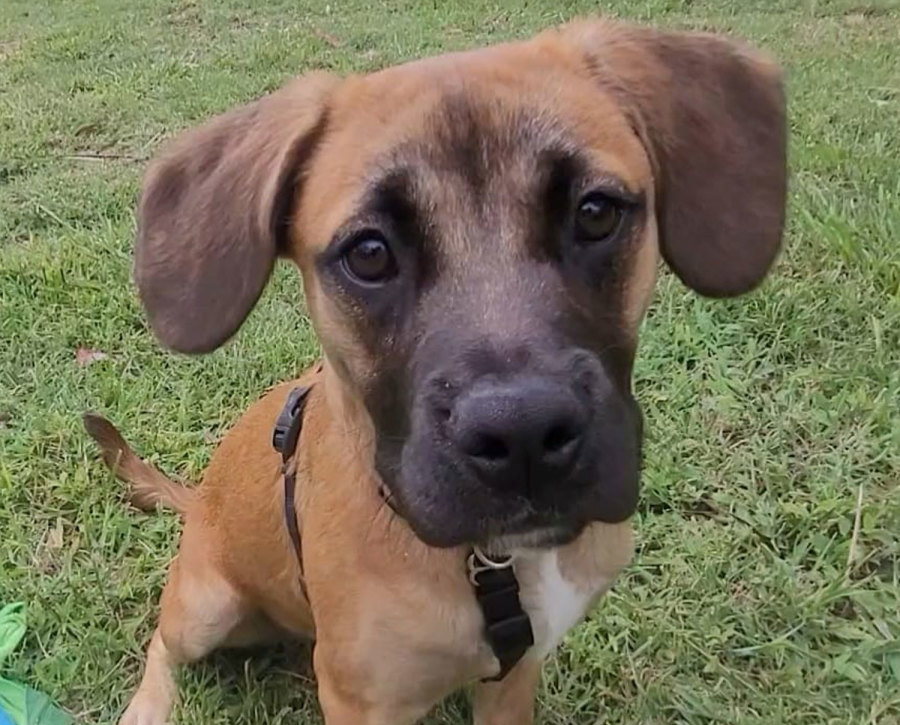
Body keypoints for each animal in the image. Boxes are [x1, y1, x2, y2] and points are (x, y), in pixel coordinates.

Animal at [84, 17, 786, 725]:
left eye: (596, 212)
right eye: (368, 253)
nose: (523, 436)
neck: (494, 566)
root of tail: (197, 501)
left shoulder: (517, 675)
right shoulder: (361, 702)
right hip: (206, 606)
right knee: (163, 641)